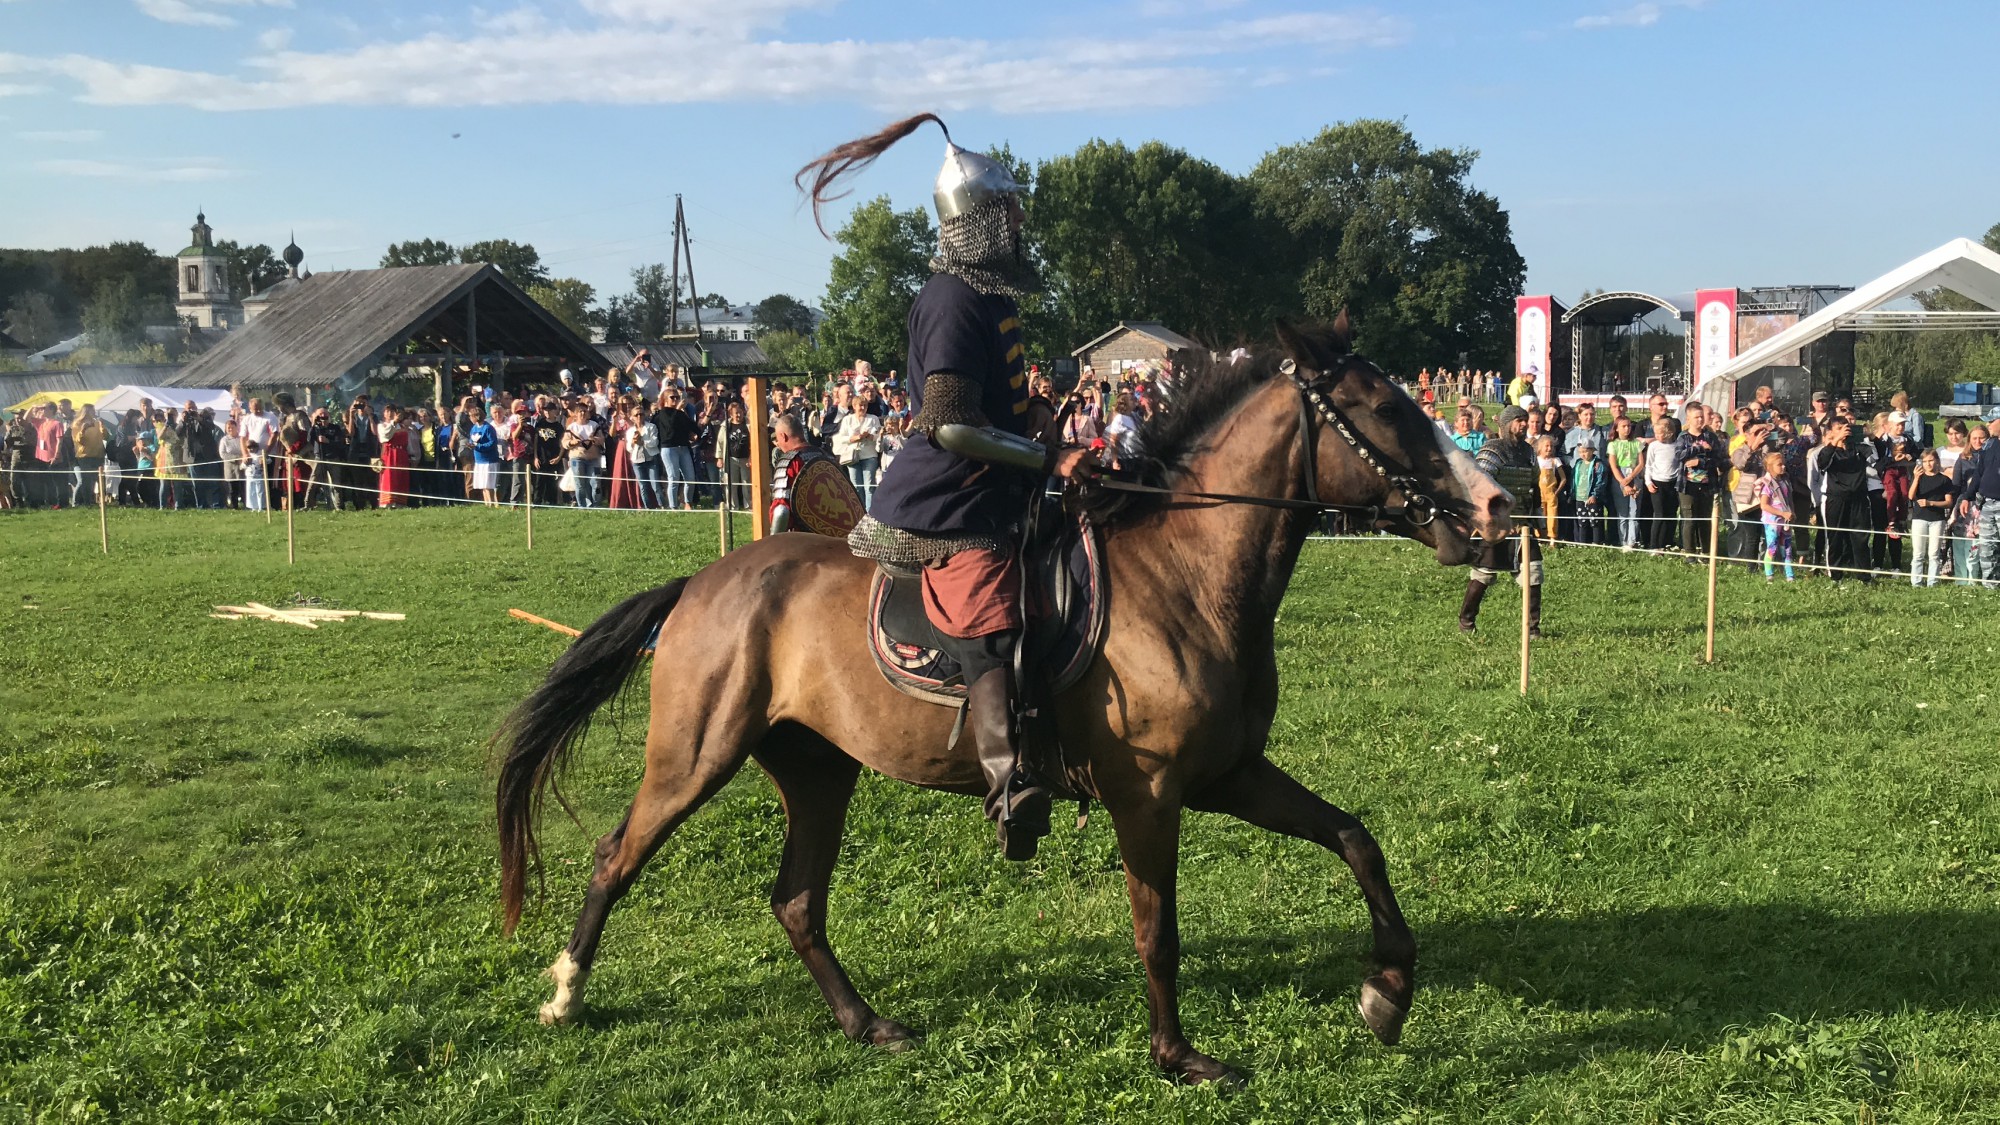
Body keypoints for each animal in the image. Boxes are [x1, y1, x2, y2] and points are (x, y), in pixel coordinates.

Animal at [492, 312, 1504, 1080]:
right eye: (1385, 408)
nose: (1493, 508)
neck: (1187, 575)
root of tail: (703, 582)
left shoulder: (1230, 775)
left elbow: (1355, 837)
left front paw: (1387, 991)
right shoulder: (1149, 795)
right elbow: (1158, 929)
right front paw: (1179, 1057)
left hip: (818, 769)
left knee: (796, 901)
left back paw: (866, 1022)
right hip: (695, 755)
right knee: (617, 856)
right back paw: (565, 991)